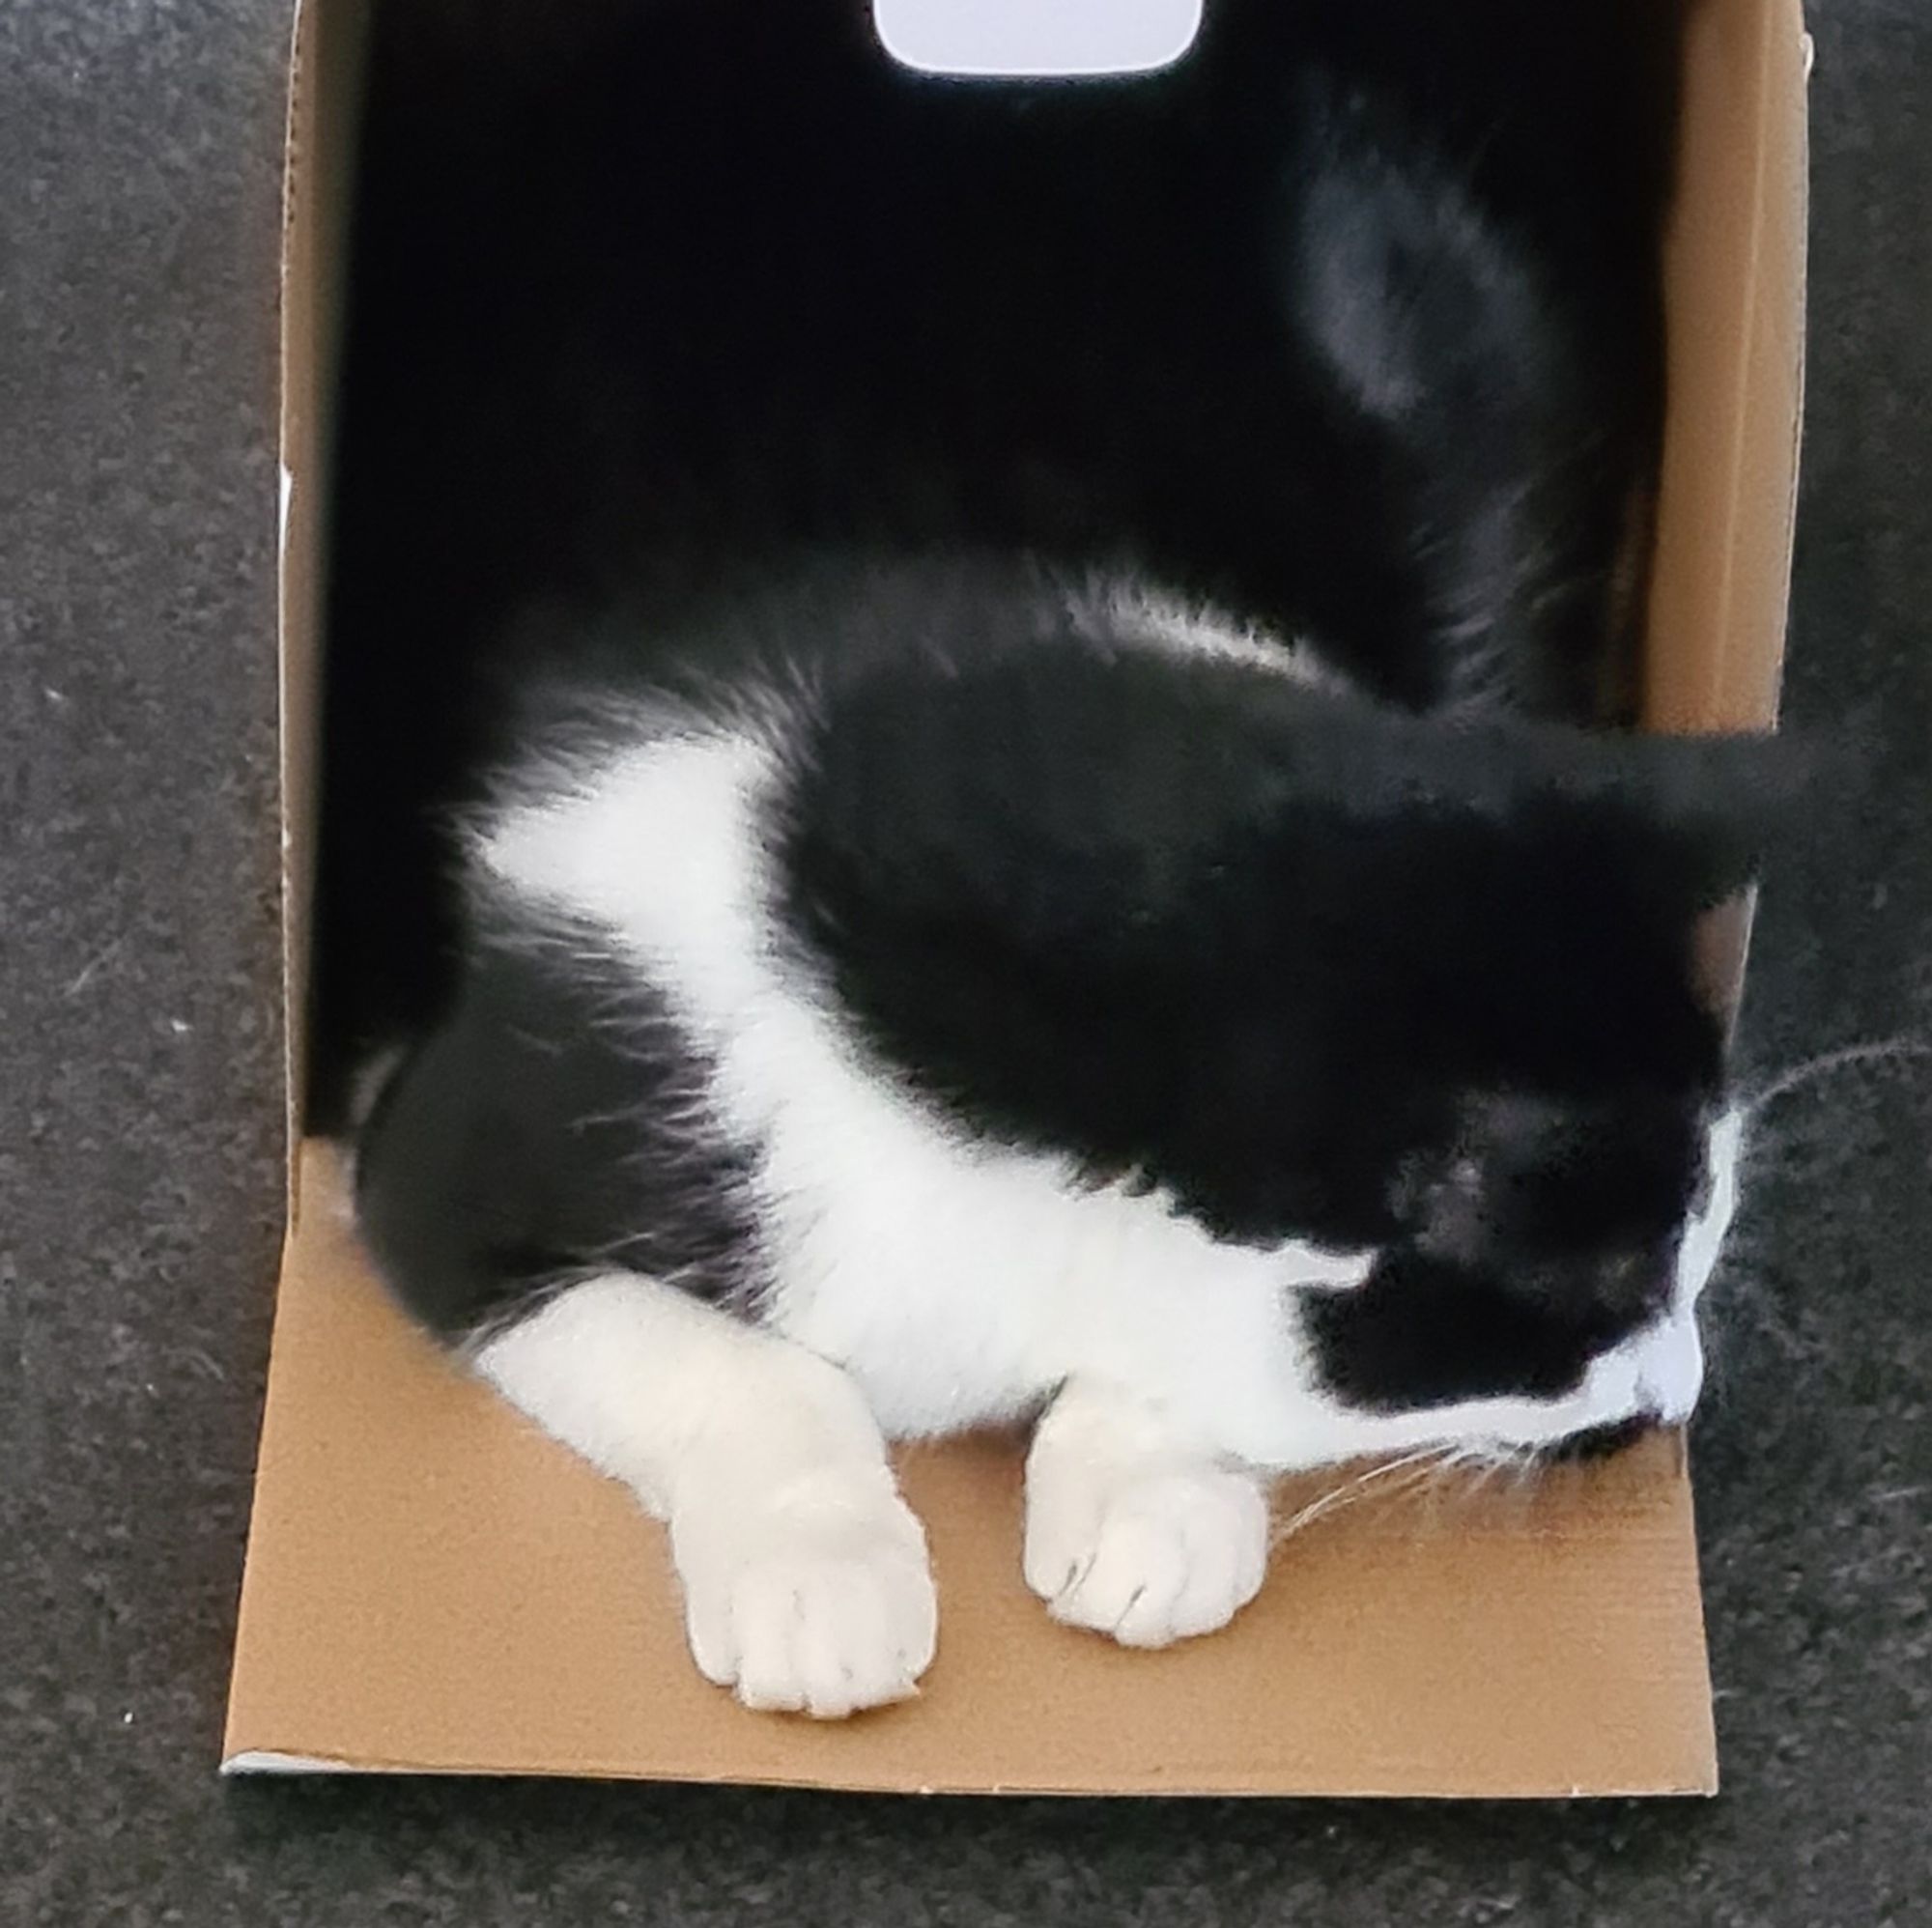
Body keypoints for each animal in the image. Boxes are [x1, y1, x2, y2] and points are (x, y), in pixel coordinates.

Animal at [317, 0, 1777, 1723]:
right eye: (1603, 1294)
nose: (1672, 1401)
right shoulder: (452, 1144)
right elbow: (741, 1366)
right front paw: (821, 1582)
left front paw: (1150, 1498)